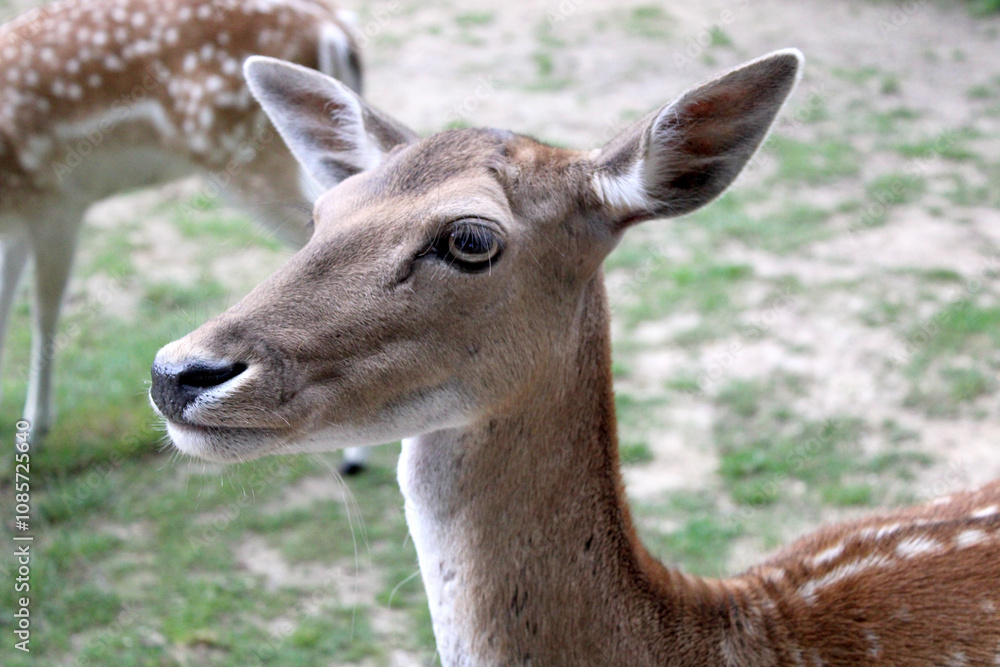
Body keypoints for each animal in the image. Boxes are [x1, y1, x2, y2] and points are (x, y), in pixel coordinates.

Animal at [0, 0, 370, 472]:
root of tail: (335, 25)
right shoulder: (17, 225)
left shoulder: (55, 203)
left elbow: (43, 313)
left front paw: (33, 434)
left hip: (244, 153)